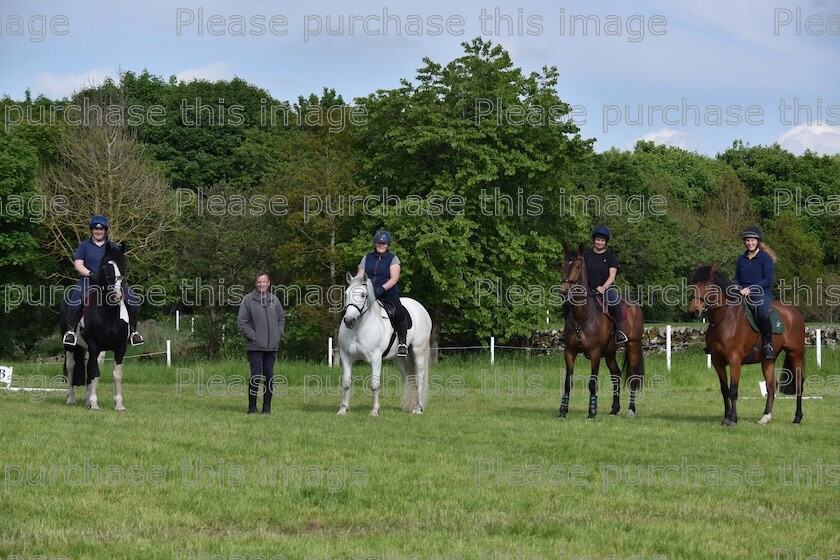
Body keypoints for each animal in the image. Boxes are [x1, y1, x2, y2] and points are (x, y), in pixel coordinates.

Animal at [60, 242, 130, 412]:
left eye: (123, 265)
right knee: (71, 366)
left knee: (89, 367)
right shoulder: (93, 345)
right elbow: (94, 372)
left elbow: (116, 375)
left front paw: (119, 404)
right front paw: (94, 403)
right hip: (70, 346)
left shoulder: (120, 347)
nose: (117, 295)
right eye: (107, 266)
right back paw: (71, 399)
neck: (109, 314)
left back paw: (86, 401)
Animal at [338, 272, 434, 416]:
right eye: (346, 294)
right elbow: (346, 383)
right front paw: (343, 409)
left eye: (363, 295)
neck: (358, 328)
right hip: (399, 359)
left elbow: (374, 385)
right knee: (408, 377)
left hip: (419, 351)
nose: (349, 320)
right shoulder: (346, 357)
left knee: (419, 378)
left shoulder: (376, 358)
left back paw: (418, 408)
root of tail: (420, 307)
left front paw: (374, 411)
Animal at [560, 246, 648, 420]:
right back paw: (614, 409)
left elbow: (592, 383)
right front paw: (563, 410)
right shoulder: (570, 352)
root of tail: (635, 305)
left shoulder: (594, 353)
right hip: (609, 353)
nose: (563, 290)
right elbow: (568, 382)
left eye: (578, 267)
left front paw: (592, 412)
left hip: (633, 346)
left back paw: (631, 410)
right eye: (563, 265)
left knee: (633, 378)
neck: (582, 315)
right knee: (616, 375)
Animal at [692, 264, 804, 426]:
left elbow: (733, 390)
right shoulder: (717, 362)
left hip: (796, 354)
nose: (694, 311)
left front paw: (733, 419)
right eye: (693, 283)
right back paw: (766, 416)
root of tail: (794, 312)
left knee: (799, 384)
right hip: (768, 360)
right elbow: (724, 390)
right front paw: (726, 417)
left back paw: (797, 417)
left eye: (708, 285)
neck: (725, 320)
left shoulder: (735, 360)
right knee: (771, 386)